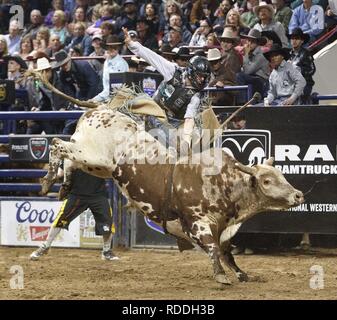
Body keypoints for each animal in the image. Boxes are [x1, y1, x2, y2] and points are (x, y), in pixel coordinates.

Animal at [31, 72, 304, 284]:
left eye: (281, 175)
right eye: (266, 181)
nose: (298, 195)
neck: (222, 184)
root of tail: (103, 109)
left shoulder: (223, 229)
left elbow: (227, 252)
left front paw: (241, 274)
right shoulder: (197, 223)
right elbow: (214, 249)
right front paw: (221, 276)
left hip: (96, 165)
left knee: (69, 158)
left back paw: (63, 186)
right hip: (94, 155)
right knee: (57, 145)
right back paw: (48, 181)